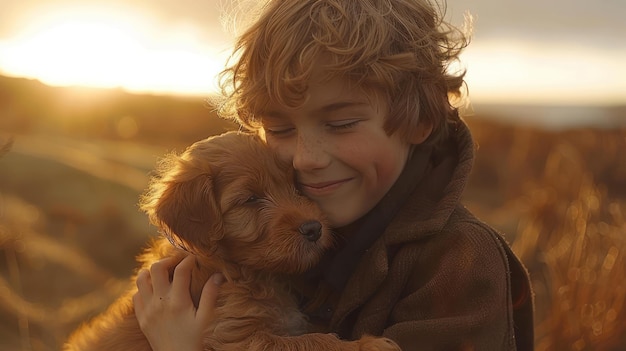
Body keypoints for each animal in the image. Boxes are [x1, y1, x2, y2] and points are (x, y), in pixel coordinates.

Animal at [64, 132, 400, 351]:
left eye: (294, 185)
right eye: (250, 199)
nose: (314, 228)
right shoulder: (235, 337)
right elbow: (312, 343)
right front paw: (370, 345)